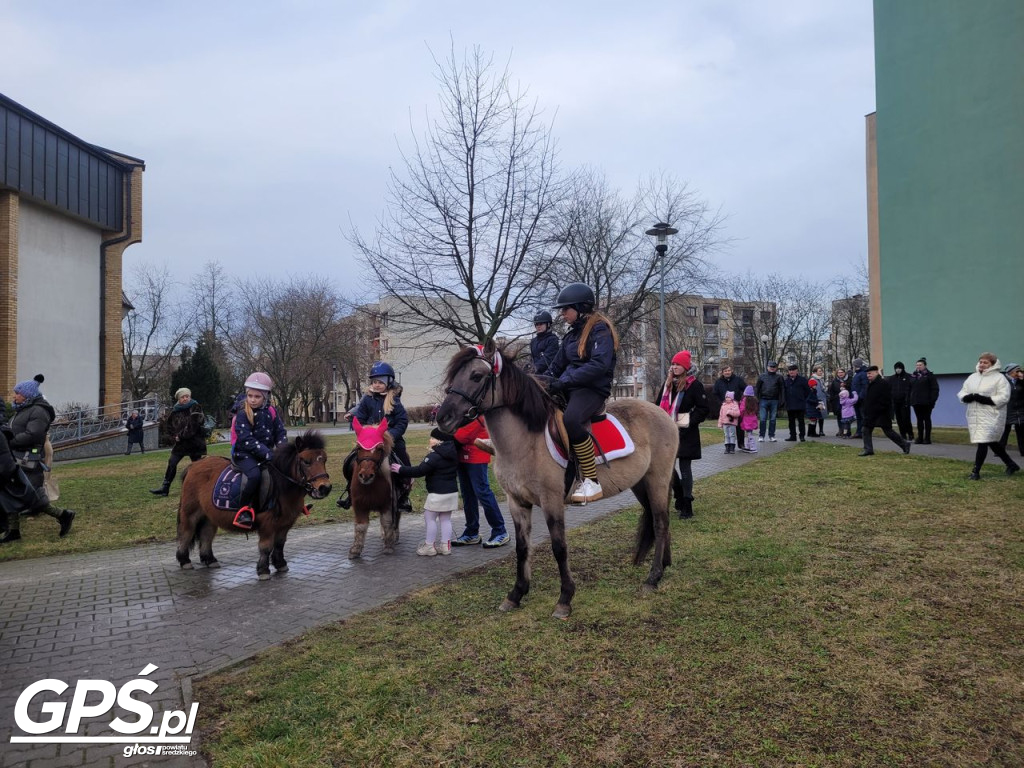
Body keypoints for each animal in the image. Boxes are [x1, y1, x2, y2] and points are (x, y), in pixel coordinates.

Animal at [176, 430, 331, 581]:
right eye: (306, 461)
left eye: (324, 459)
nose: (325, 488)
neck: (281, 484)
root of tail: (193, 466)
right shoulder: (268, 524)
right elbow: (266, 547)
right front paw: (263, 570)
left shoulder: (285, 523)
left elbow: (280, 544)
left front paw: (280, 564)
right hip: (191, 512)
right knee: (186, 532)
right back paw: (184, 560)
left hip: (209, 516)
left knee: (206, 534)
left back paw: (209, 559)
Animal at [350, 421, 401, 561]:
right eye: (358, 448)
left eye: (379, 449)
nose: (366, 476)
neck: (370, 487)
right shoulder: (359, 506)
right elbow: (360, 526)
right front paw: (355, 550)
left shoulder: (387, 504)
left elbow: (387, 522)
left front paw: (389, 546)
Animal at [434, 342, 679, 618]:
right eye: (454, 375)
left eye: (476, 376)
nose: (443, 418)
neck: (526, 441)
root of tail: (663, 414)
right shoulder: (517, 502)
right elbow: (522, 548)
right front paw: (516, 594)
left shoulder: (551, 501)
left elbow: (559, 547)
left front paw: (565, 598)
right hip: (641, 483)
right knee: (657, 520)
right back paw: (664, 564)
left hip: (657, 479)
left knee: (660, 521)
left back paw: (653, 577)